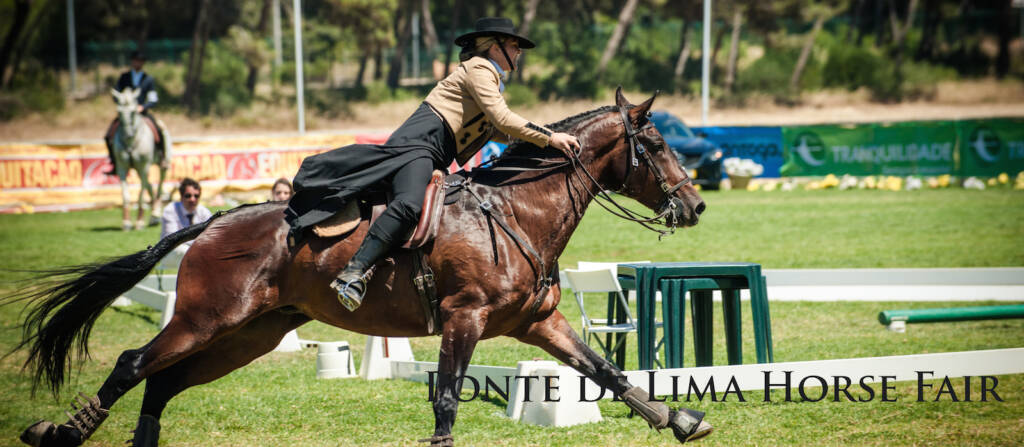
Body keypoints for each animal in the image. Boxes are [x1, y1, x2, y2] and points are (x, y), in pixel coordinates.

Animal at [110, 87, 169, 231]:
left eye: (133, 112)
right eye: (119, 112)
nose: (128, 135)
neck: (131, 143)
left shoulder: (144, 167)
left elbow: (141, 196)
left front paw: (139, 222)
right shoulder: (122, 168)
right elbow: (125, 195)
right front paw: (126, 223)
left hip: (161, 165)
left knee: (159, 186)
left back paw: (155, 213)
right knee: (150, 185)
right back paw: (153, 213)